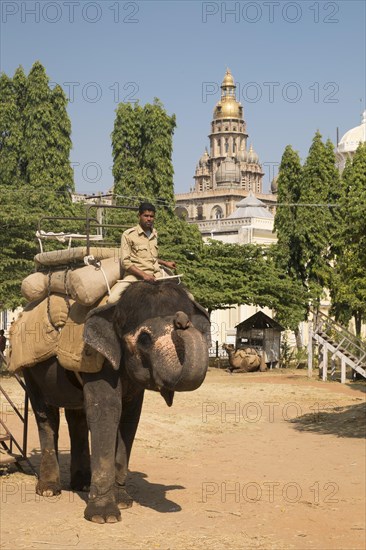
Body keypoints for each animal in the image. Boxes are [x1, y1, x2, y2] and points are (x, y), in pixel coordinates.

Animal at [22, 282, 209, 524]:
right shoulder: (98, 360)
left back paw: (82, 485)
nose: (182, 321)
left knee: (77, 417)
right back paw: (48, 490)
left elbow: (129, 418)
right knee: (45, 415)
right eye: (144, 339)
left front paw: (124, 502)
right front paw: (104, 517)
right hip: (31, 372)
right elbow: (107, 412)